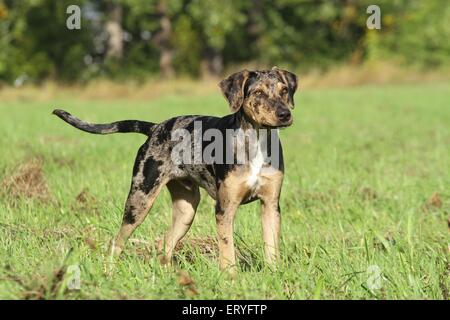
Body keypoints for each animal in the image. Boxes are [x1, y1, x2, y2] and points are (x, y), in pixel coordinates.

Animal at [52, 66, 298, 276]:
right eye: (258, 92)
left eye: (284, 90)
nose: (284, 114)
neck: (257, 141)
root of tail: (155, 128)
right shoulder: (225, 208)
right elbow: (227, 252)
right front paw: (232, 280)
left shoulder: (271, 205)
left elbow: (271, 248)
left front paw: (274, 275)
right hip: (139, 200)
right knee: (117, 241)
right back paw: (109, 273)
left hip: (186, 211)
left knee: (165, 245)